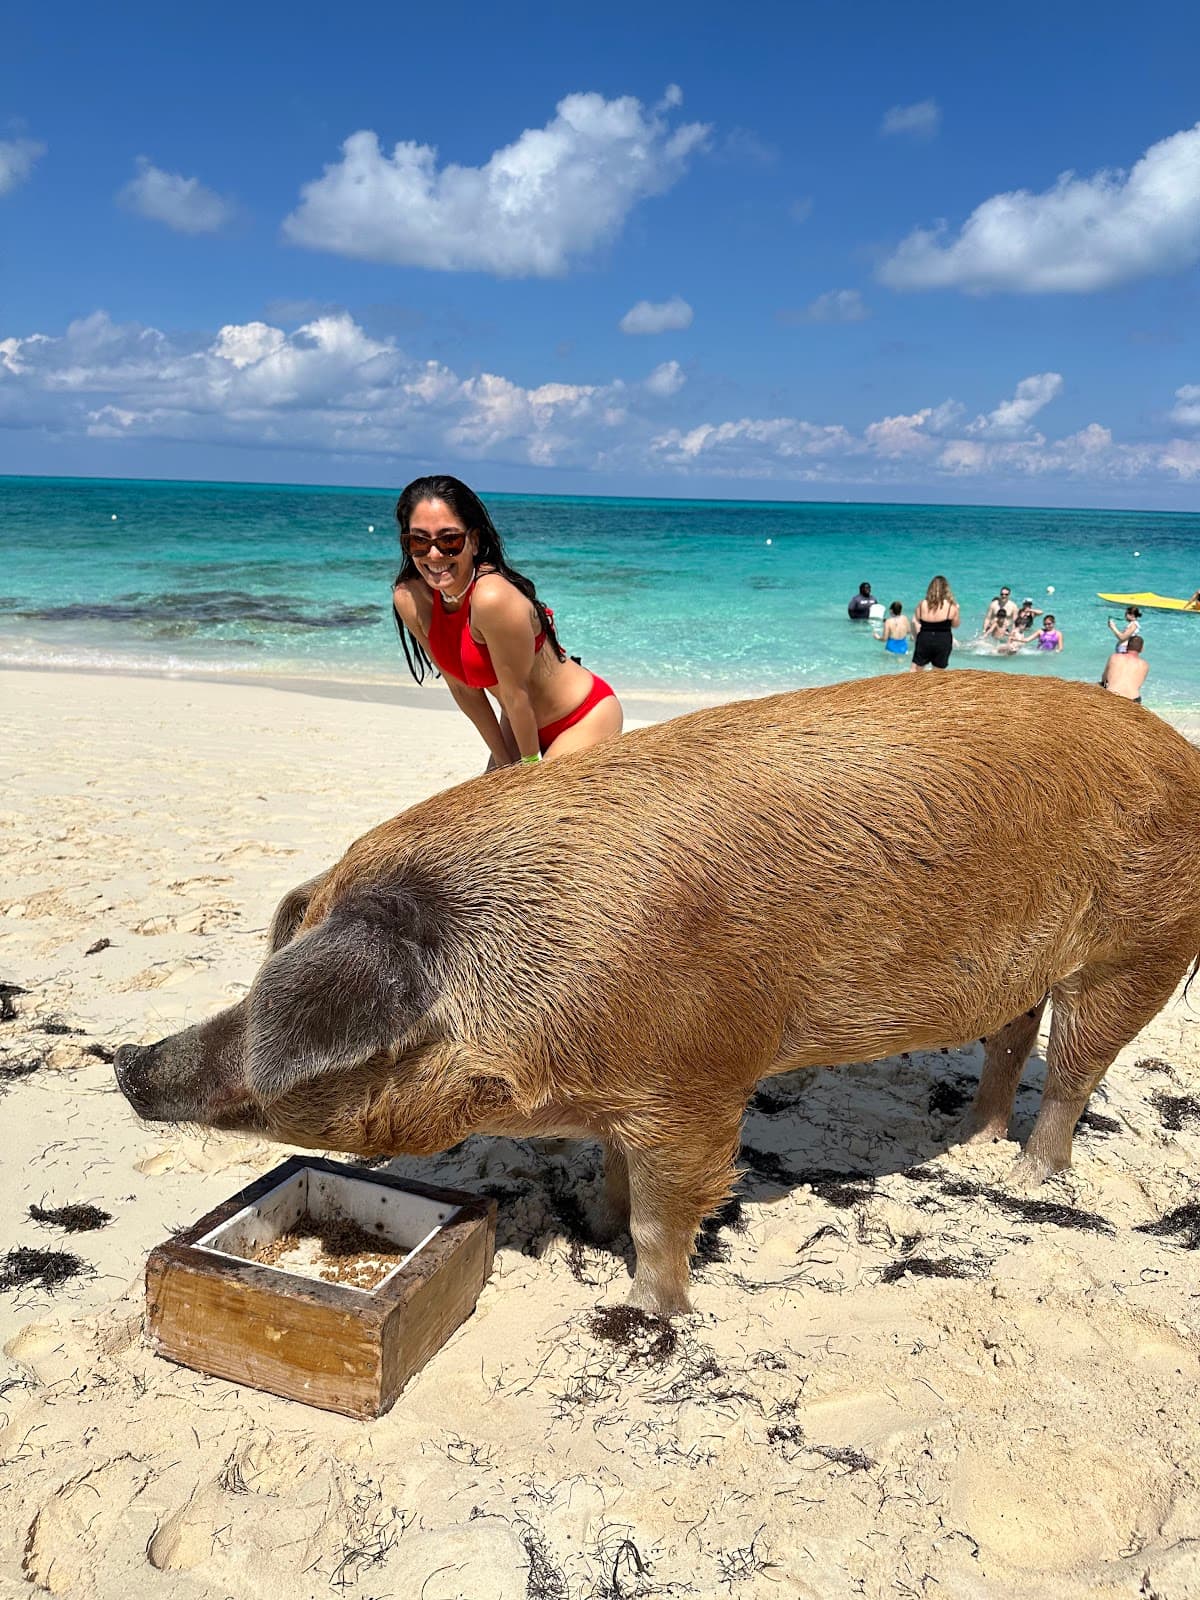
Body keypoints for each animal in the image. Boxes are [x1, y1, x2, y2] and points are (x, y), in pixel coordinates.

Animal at [116, 672, 1200, 1314]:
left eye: (277, 1016)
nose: (127, 1058)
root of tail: (1183, 752)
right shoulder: (627, 1091)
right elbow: (616, 1176)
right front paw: (590, 1228)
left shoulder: (699, 1077)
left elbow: (669, 1208)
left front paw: (647, 1310)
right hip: (1025, 968)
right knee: (1013, 1041)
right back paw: (973, 1143)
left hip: (1144, 944)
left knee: (1077, 1066)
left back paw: (1031, 1172)